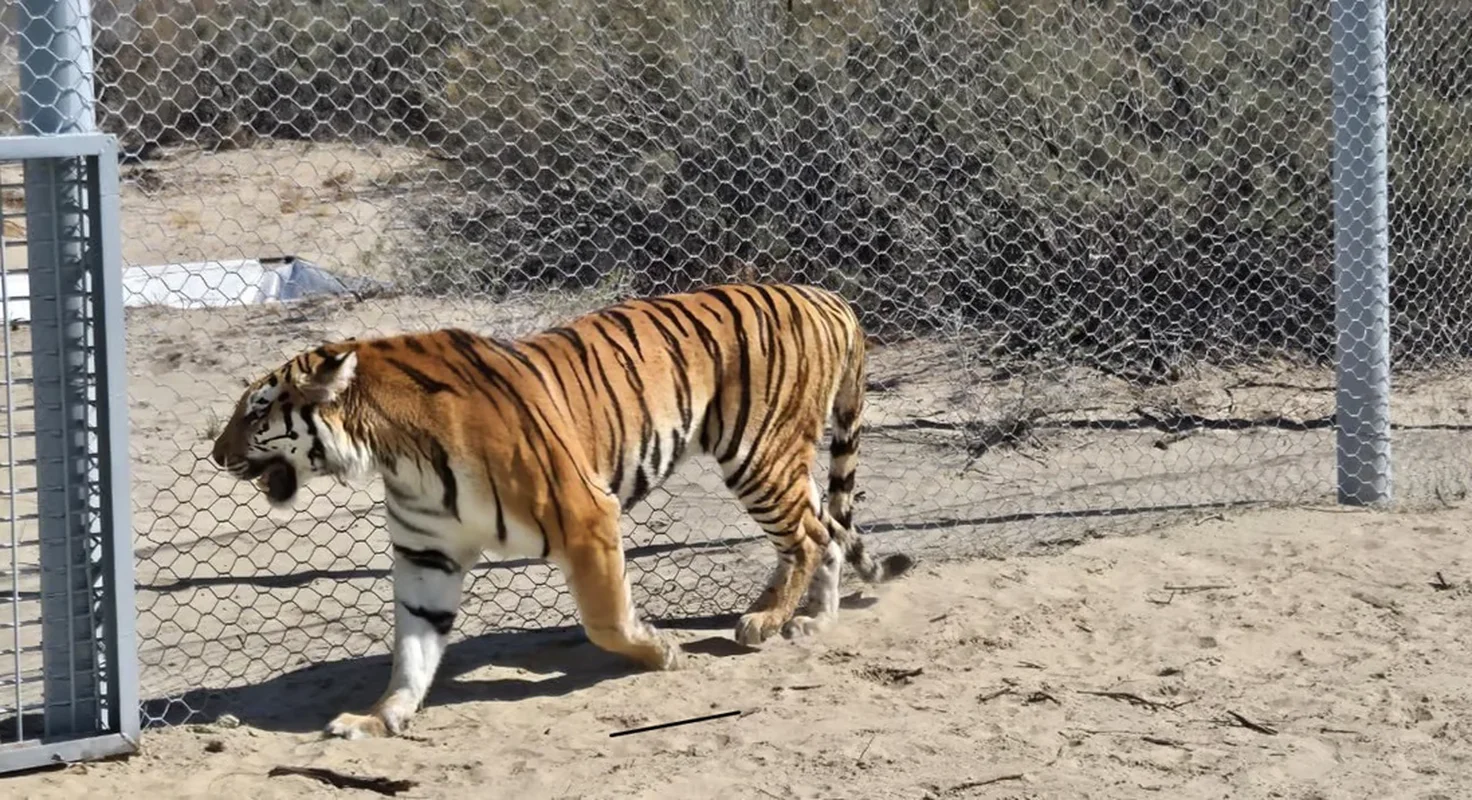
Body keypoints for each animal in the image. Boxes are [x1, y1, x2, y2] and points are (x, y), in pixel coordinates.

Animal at [209, 282, 914, 739]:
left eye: (256, 411)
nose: (215, 455)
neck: (390, 451)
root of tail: (828, 296)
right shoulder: (425, 555)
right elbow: (413, 644)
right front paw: (382, 716)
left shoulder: (587, 515)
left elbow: (607, 620)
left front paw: (662, 652)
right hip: (779, 460)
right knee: (827, 527)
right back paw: (810, 621)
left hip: (757, 453)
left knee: (809, 534)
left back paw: (767, 621)